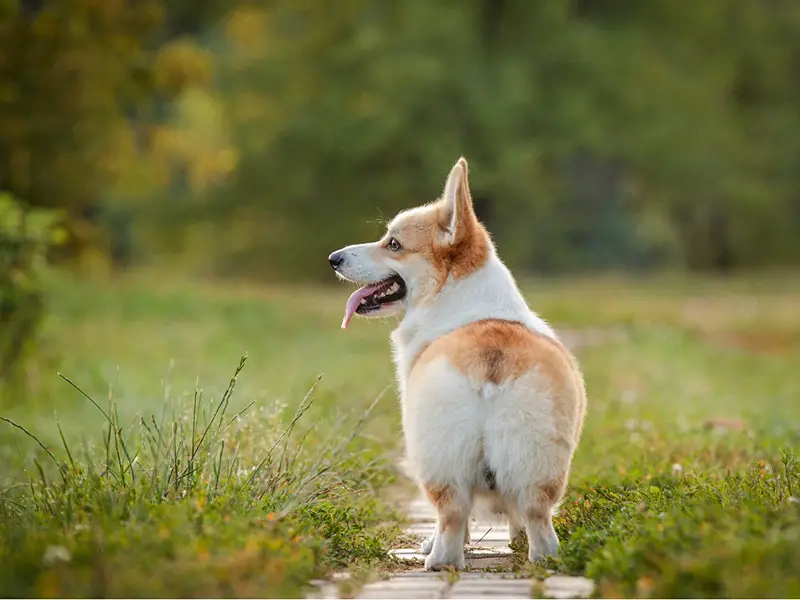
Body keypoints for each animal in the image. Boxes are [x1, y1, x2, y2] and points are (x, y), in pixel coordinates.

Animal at [328, 157, 584, 568]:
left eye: (393, 244)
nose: (333, 259)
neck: (455, 295)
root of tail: (490, 362)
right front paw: (514, 541)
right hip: (537, 463)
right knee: (536, 518)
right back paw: (542, 559)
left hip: (434, 457)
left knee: (450, 515)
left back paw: (439, 560)